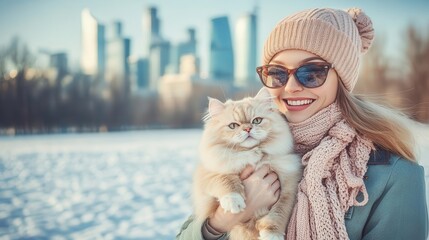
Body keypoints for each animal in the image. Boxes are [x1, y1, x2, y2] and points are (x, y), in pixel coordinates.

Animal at [192, 88, 302, 240]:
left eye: (257, 121)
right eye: (233, 126)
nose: (247, 129)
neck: (252, 155)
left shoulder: (288, 188)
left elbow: (277, 215)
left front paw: (272, 235)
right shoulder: (208, 173)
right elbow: (226, 180)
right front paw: (233, 202)